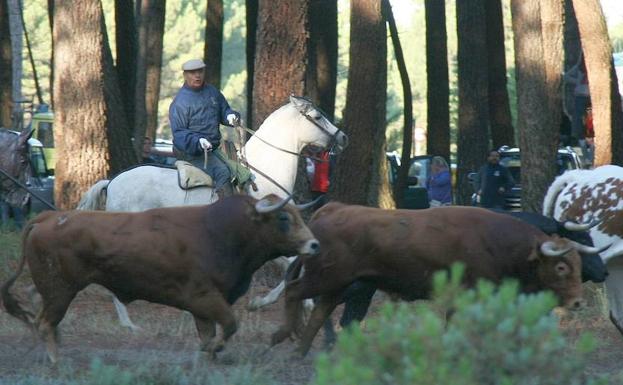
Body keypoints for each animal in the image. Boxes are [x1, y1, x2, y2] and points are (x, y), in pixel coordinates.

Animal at [0, 195, 320, 364]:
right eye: (283, 218)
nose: (314, 244)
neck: (220, 232)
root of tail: (47, 218)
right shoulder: (204, 297)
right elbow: (229, 325)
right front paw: (212, 350)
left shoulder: (204, 308)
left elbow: (209, 333)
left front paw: (209, 356)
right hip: (61, 290)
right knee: (44, 322)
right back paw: (56, 360)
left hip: (53, 287)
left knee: (35, 304)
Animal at [76, 94, 348, 328]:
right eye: (317, 116)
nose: (343, 137)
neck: (259, 178)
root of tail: (112, 182)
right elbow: (290, 263)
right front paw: (262, 303)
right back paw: (128, 322)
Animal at [272, 202, 588, 356]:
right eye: (561, 267)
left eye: (579, 264)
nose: (577, 302)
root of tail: (330, 210)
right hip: (326, 279)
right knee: (293, 292)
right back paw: (282, 336)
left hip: (339, 285)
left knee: (320, 310)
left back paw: (299, 353)